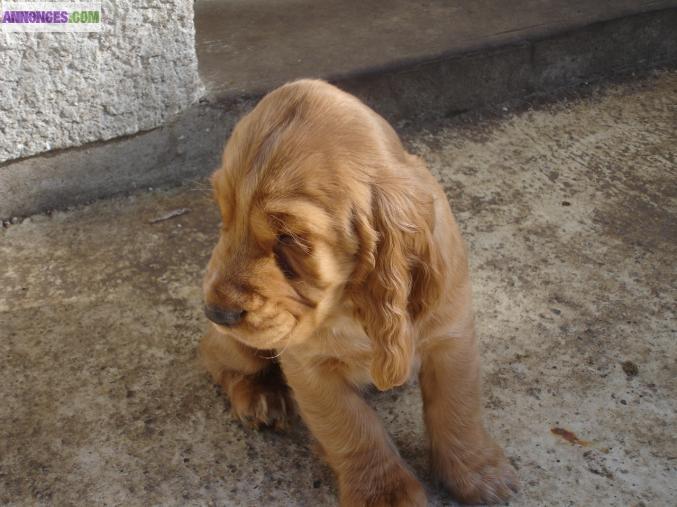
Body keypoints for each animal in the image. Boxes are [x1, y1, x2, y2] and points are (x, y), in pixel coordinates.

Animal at [201, 78, 516, 504]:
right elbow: (351, 428)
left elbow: (458, 406)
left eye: (291, 238)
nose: (215, 312)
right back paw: (258, 396)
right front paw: (384, 493)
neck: (352, 301)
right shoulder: (309, 364)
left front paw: (477, 471)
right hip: (240, 348)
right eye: (224, 215)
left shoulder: (451, 336)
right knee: (214, 356)